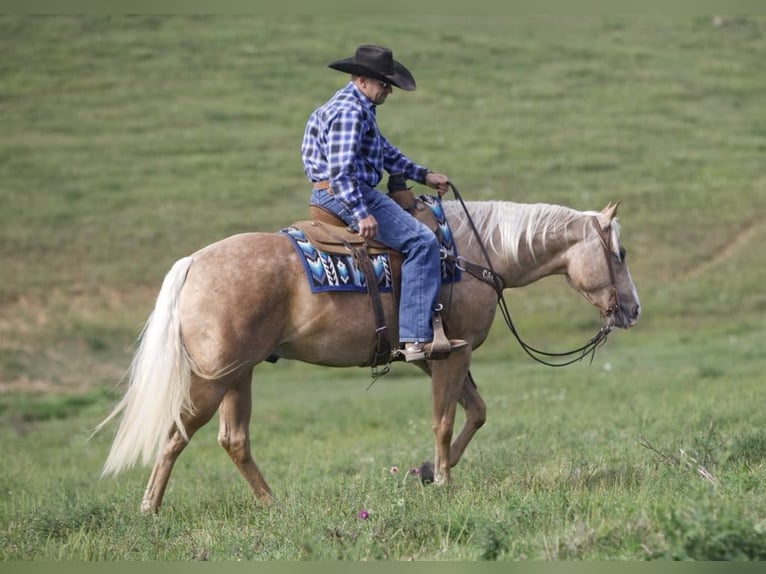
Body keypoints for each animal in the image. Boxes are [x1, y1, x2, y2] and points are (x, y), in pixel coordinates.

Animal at [99, 199, 644, 512]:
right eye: (619, 254)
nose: (634, 309)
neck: (470, 253)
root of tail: (193, 263)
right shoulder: (449, 357)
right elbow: (445, 420)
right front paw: (443, 482)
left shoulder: (437, 356)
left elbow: (477, 412)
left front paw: (427, 472)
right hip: (212, 379)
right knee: (176, 434)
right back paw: (150, 509)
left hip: (240, 375)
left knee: (233, 440)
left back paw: (273, 506)